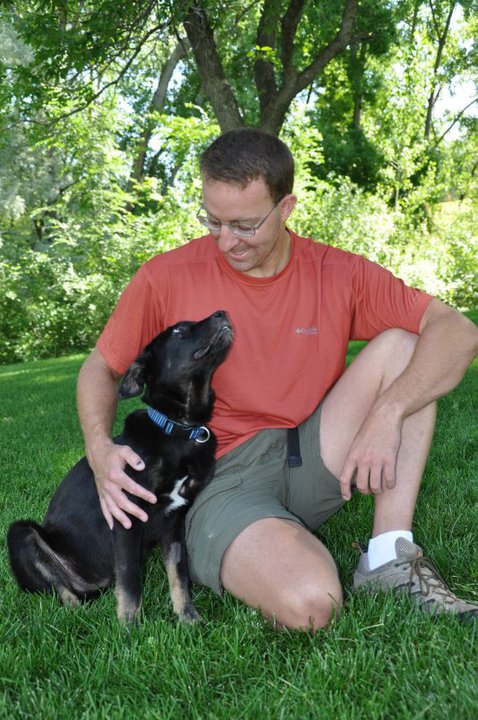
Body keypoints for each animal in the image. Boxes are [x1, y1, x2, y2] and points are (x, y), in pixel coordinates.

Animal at [6, 310, 233, 624]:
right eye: (179, 331)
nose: (223, 313)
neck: (178, 431)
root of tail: (91, 585)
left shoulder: (175, 523)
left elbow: (179, 576)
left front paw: (188, 618)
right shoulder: (126, 516)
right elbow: (130, 579)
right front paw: (129, 626)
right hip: (20, 533)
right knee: (60, 591)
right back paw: (77, 615)